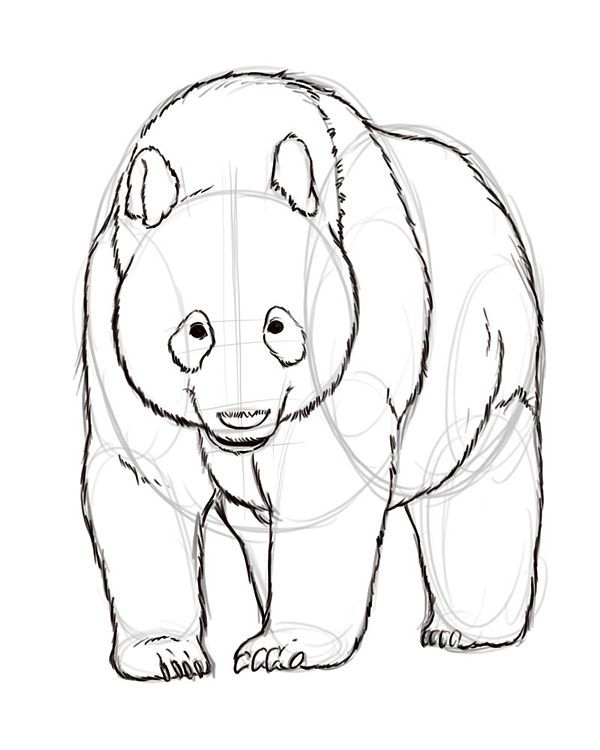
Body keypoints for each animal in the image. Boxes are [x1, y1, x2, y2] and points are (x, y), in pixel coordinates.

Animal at [81, 70, 543, 679]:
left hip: (488, 349)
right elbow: (145, 476)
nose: (242, 411)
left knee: (475, 486)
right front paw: (166, 654)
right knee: (257, 522)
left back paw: (466, 630)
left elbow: (323, 475)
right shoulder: (112, 336)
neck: (227, 145)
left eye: (278, 324)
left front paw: (283, 648)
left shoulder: (364, 314)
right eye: (195, 329)